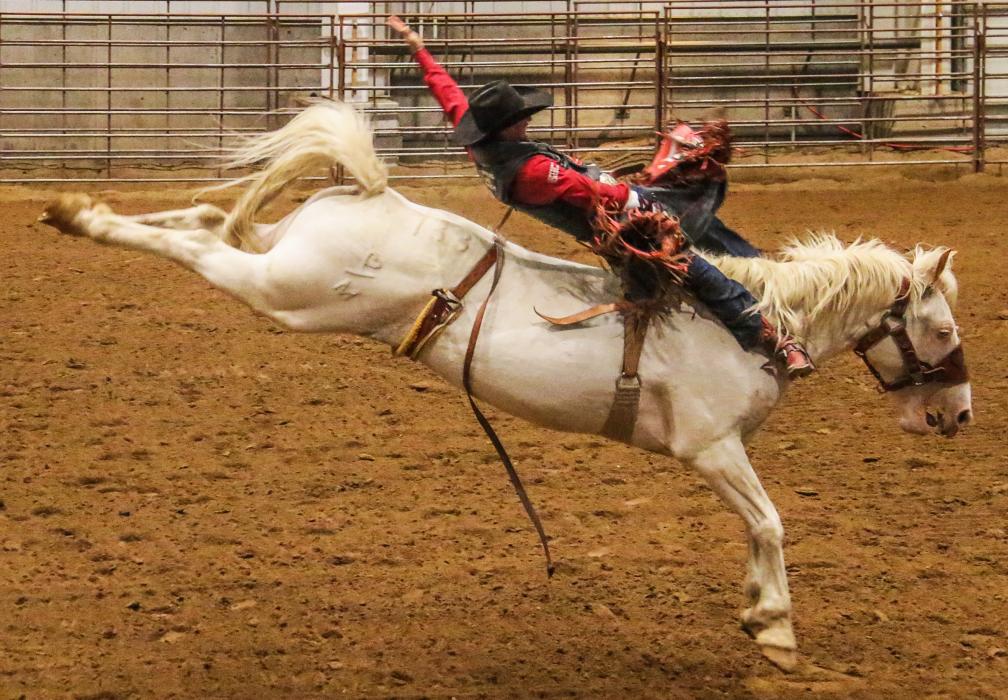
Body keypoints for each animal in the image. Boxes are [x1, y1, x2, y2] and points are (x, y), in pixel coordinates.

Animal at [39, 100, 972, 672]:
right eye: (943, 331)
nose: (958, 416)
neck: (754, 321)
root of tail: (373, 195)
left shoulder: (721, 454)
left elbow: (757, 530)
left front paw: (758, 613)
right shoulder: (711, 448)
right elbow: (771, 522)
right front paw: (776, 629)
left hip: (283, 256)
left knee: (209, 221)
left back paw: (76, 211)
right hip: (289, 294)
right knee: (203, 247)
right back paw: (86, 219)